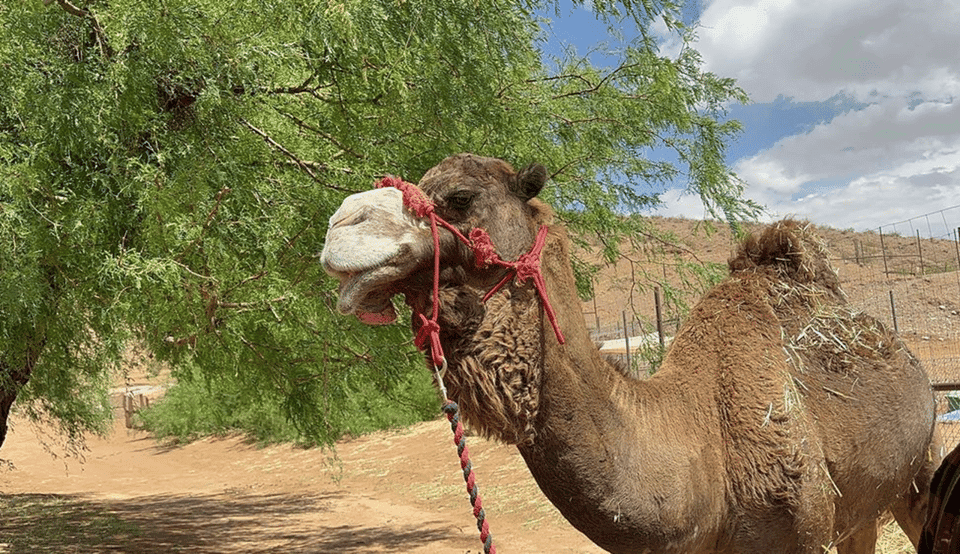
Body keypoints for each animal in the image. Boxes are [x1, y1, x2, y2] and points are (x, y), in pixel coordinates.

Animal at [320, 153, 939, 553]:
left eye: (460, 198)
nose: (339, 226)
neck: (704, 451)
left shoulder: (804, 532)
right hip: (862, 501)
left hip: (923, 461)